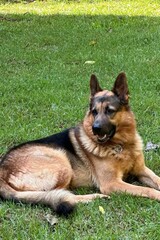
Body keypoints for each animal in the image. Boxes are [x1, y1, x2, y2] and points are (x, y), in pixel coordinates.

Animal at [0, 72, 160, 217]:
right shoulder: (111, 183)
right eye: (94, 112)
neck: (122, 145)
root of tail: (2, 170)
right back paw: (95, 197)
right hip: (62, 162)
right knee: (59, 194)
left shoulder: (142, 170)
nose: (95, 128)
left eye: (109, 111)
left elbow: (157, 179)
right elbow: (146, 189)